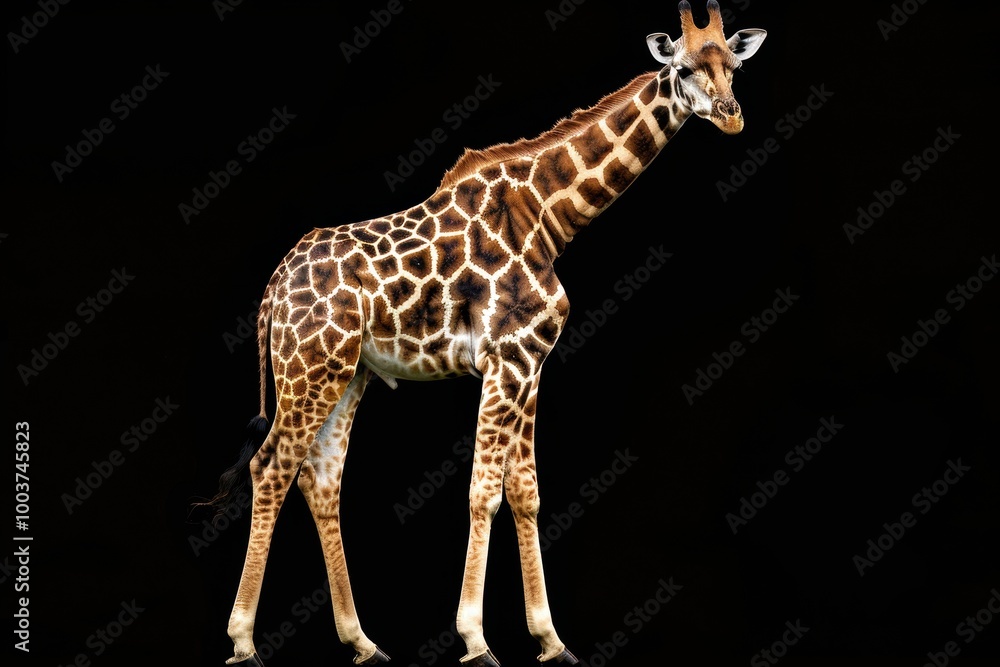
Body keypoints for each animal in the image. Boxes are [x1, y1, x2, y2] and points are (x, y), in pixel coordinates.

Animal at [205, 2, 765, 665]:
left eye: (733, 66)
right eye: (682, 68)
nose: (731, 115)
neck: (550, 214)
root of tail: (273, 289)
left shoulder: (530, 363)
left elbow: (524, 491)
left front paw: (550, 639)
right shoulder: (508, 357)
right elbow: (483, 491)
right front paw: (475, 639)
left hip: (347, 374)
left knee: (320, 479)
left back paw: (363, 641)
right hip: (309, 368)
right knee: (271, 467)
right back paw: (243, 640)